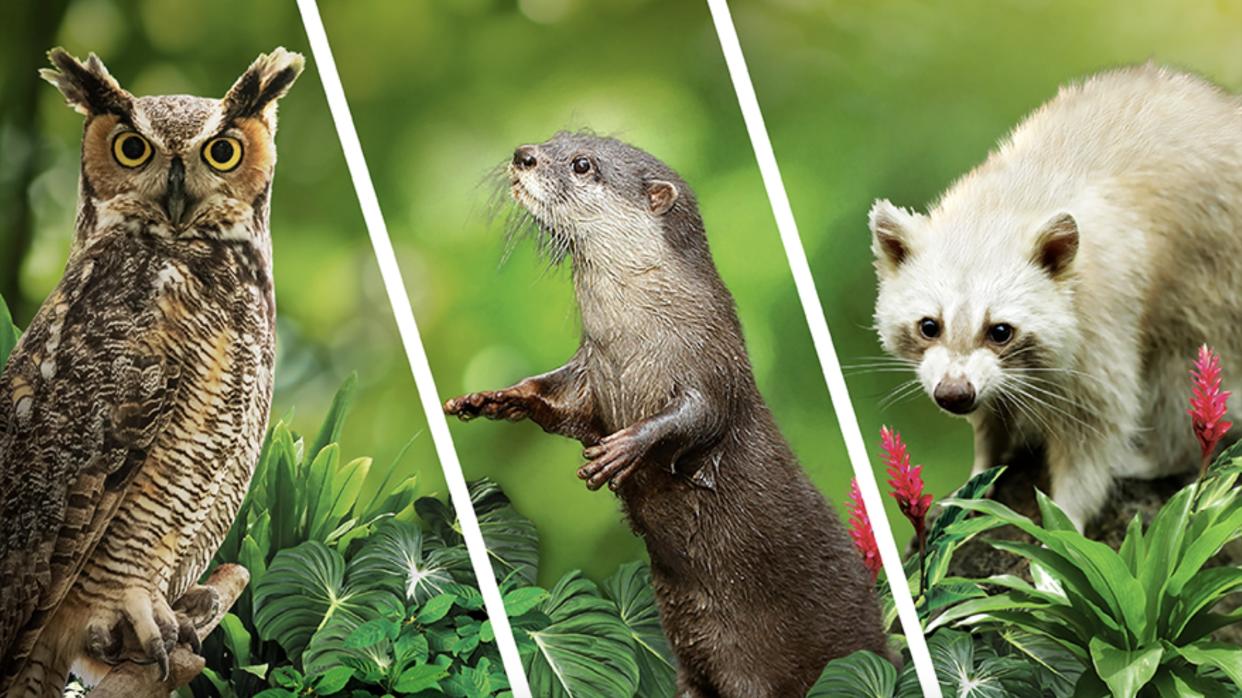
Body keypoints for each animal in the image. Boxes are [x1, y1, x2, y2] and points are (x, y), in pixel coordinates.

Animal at [444, 131, 884, 695]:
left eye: (582, 164)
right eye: (557, 137)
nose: (524, 155)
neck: (637, 333)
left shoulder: (711, 359)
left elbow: (702, 415)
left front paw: (624, 450)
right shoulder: (589, 367)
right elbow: (556, 399)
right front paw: (494, 398)